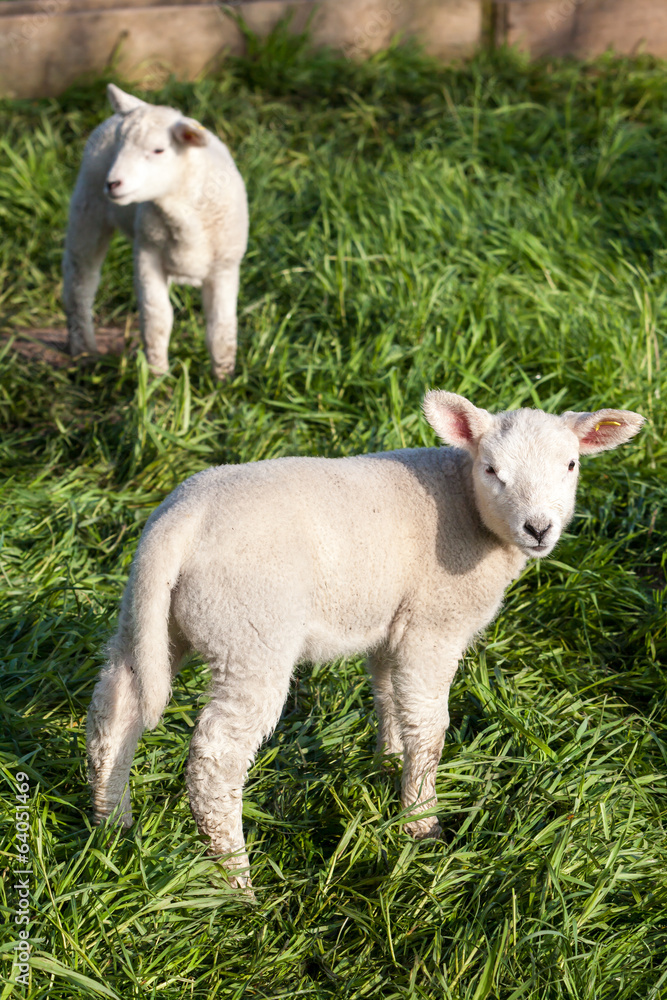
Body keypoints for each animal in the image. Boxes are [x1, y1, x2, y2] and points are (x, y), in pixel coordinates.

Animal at [63, 84, 248, 380]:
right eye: (119, 145)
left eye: (159, 150)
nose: (112, 183)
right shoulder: (147, 255)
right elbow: (157, 319)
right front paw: (157, 378)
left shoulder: (225, 267)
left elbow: (221, 328)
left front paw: (224, 381)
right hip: (87, 207)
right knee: (80, 280)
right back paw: (84, 353)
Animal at [86, 391, 644, 887]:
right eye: (491, 470)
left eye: (571, 464)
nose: (538, 528)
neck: (465, 504)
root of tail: (179, 521)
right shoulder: (432, 625)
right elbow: (430, 727)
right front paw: (421, 822)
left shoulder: (391, 622)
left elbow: (389, 697)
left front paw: (387, 764)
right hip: (251, 634)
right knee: (216, 758)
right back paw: (235, 877)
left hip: (153, 617)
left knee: (115, 706)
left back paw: (112, 825)